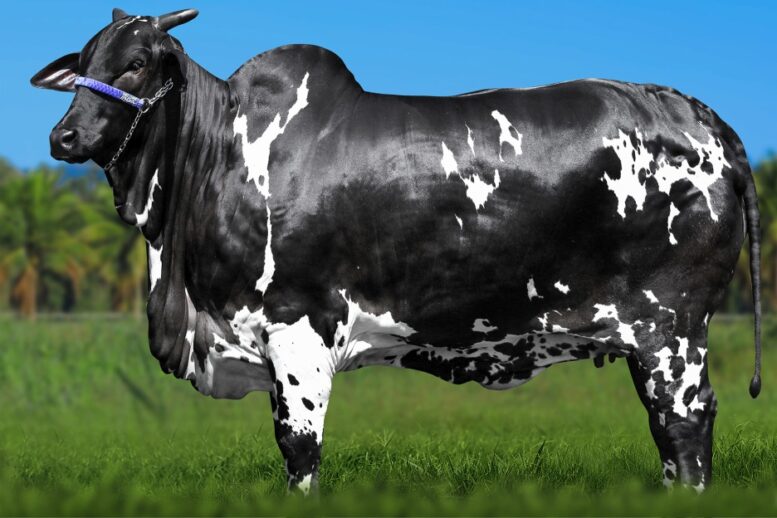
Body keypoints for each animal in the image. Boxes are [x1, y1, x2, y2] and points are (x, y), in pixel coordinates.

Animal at [32, 8, 762, 494]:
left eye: (136, 62)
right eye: (83, 66)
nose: (63, 138)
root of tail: (708, 122)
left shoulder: (299, 328)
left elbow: (299, 448)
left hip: (672, 330)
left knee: (686, 425)